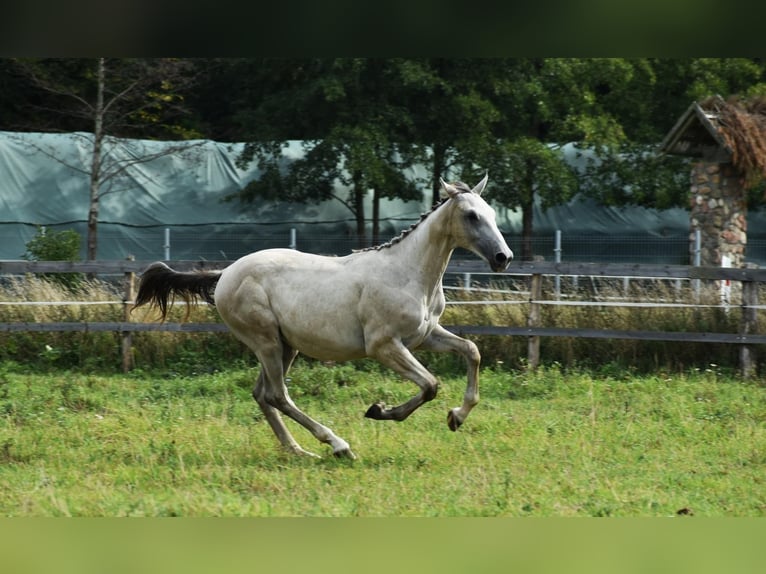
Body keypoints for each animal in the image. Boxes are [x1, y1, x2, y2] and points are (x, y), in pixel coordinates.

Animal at [134, 176, 512, 460]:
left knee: (262, 395)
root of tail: (225, 273)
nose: (503, 257)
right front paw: (379, 410)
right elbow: (430, 384)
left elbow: (472, 351)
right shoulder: (384, 346)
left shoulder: (425, 336)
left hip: (285, 346)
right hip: (266, 341)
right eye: (471, 216)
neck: (408, 274)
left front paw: (456, 417)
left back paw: (299, 451)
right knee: (277, 395)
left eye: (491, 212)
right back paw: (338, 446)